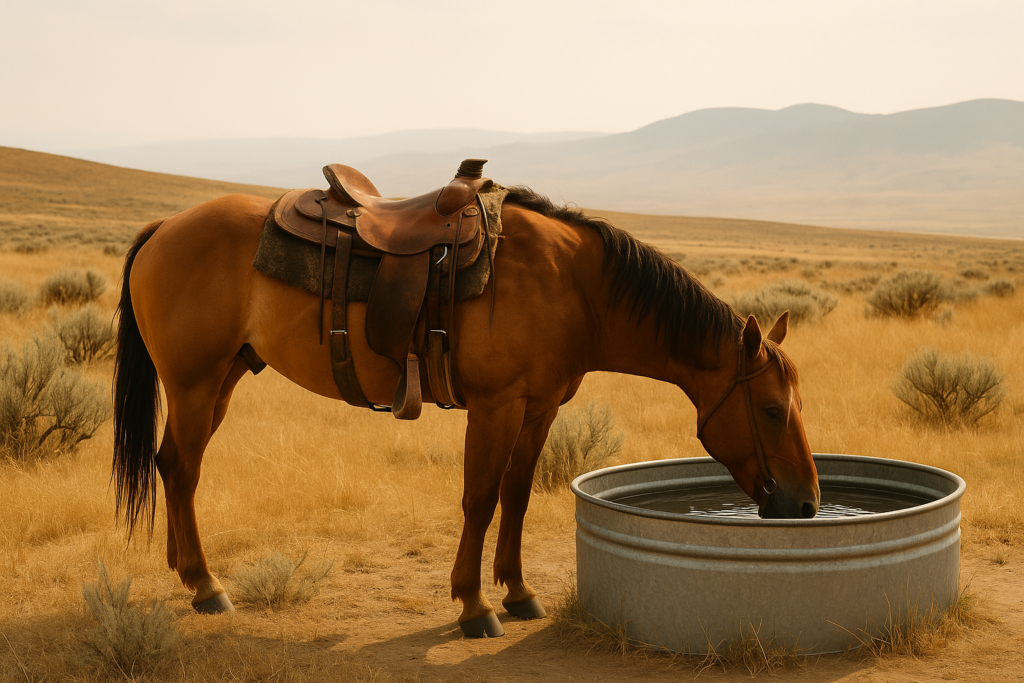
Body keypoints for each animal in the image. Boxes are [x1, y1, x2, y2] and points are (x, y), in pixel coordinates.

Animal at [112, 185, 819, 638]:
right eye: (770, 410)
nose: (808, 503)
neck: (574, 285)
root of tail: (163, 228)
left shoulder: (540, 408)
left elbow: (516, 494)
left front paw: (518, 591)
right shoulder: (496, 406)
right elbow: (478, 498)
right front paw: (475, 606)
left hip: (222, 379)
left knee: (173, 466)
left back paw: (187, 575)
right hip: (196, 383)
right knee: (182, 468)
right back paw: (207, 586)